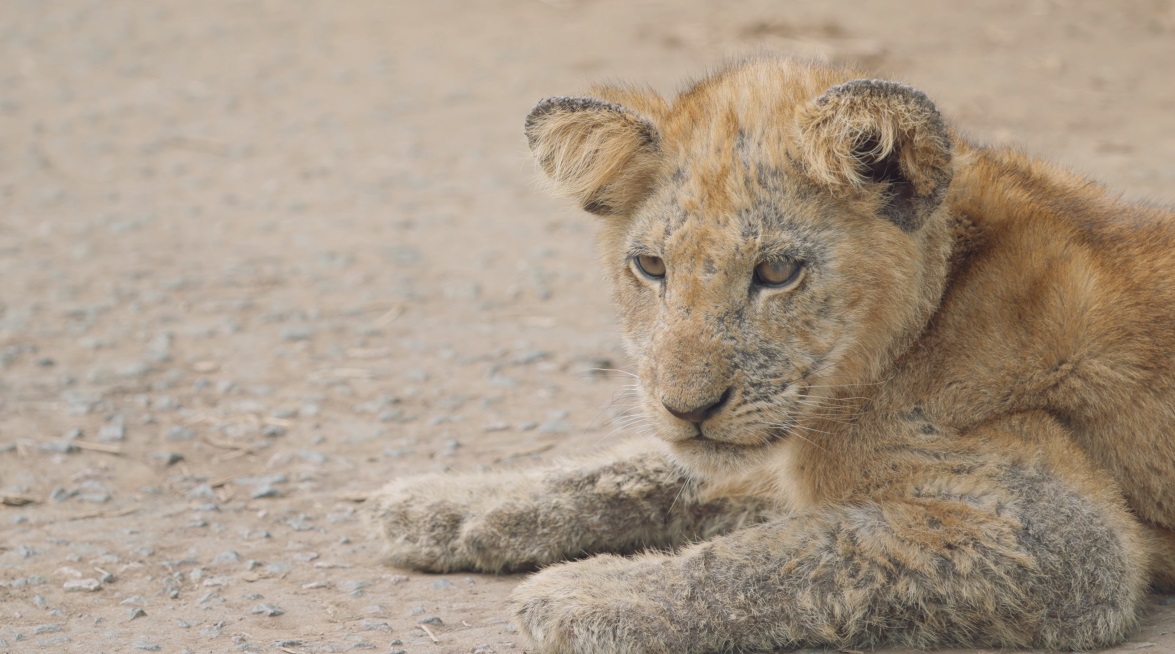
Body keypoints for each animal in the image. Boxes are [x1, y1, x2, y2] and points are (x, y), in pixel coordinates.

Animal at [371, 57, 1175, 652]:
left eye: (778, 272)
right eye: (651, 267)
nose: (688, 407)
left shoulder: (1065, 539)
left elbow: (788, 558)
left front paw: (581, 594)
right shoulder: (765, 447)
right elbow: (629, 472)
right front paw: (443, 505)